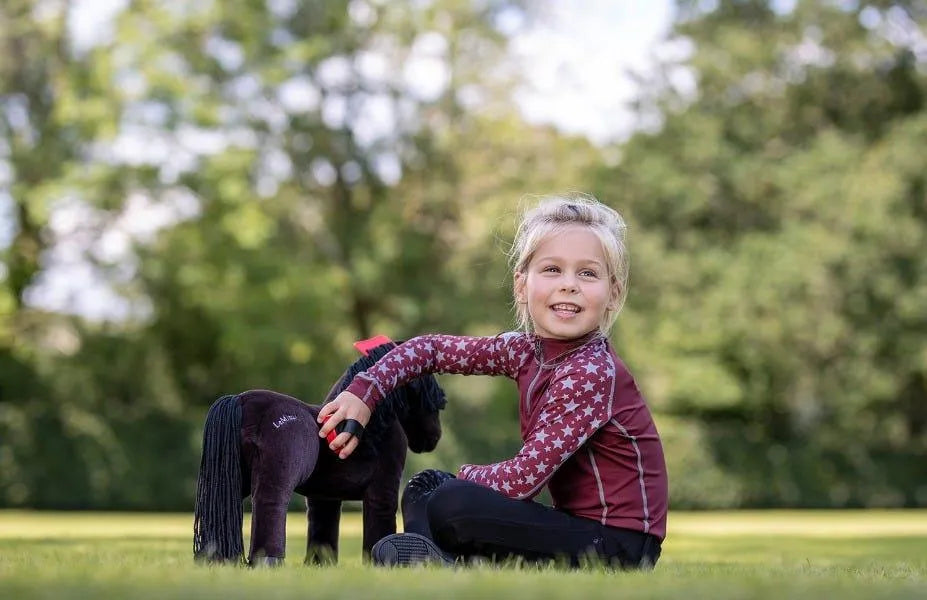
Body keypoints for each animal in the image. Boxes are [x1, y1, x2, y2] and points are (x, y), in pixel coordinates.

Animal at [192, 340, 447, 566]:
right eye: (427, 387)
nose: (433, 439)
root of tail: (240, 400)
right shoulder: (382, 494)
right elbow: (378, 529)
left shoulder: (324, 497)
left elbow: (322, 533)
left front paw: (319, 564)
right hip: (274, 480)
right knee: (270, 508)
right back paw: (267, 563)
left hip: (228, 480)